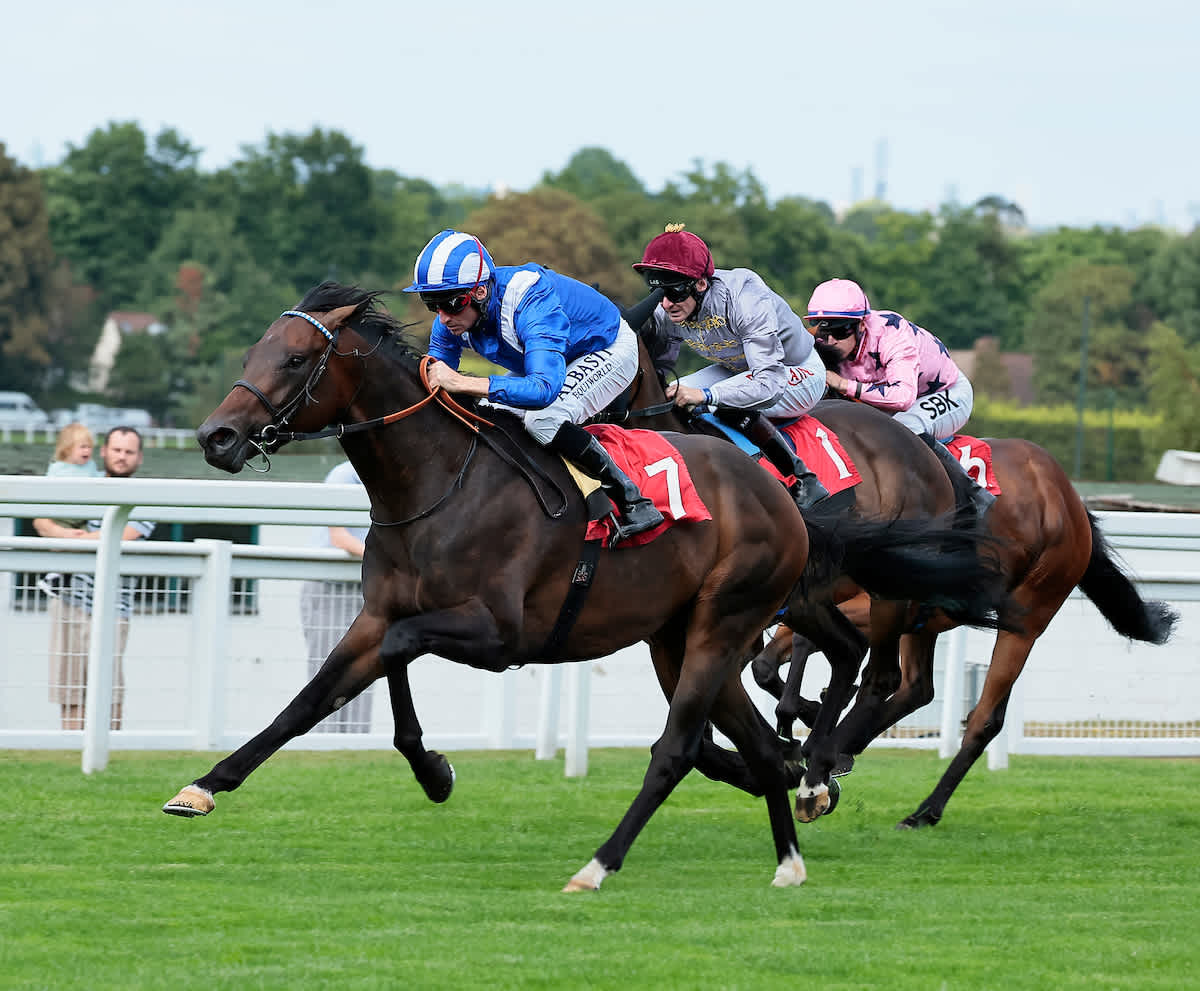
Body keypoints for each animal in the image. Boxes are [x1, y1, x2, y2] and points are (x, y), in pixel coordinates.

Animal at [162, 282, 1005, 890]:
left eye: (296, 359)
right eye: (260, 347)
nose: (216, 436)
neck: (439, 482)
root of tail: (782, 498)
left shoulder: (496, 632)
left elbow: (392, 655)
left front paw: (434, 770)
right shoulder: (383, 609)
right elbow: (318, 696)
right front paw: (205, 784)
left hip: (728, 622)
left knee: (694, 739)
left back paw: (607, 861)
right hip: (683, 637)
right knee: (760, 740)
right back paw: (790, 844)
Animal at [751, 436, 1180, 828]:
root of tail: (1068, 495)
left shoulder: (870, 599)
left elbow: (799, 645)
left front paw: (806, 718)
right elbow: (767, 662)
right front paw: (806, 715)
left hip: (1027, 617)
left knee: (982, 719)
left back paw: (921, 809)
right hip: (927, 622)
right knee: (918, 688)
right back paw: (842, 749)